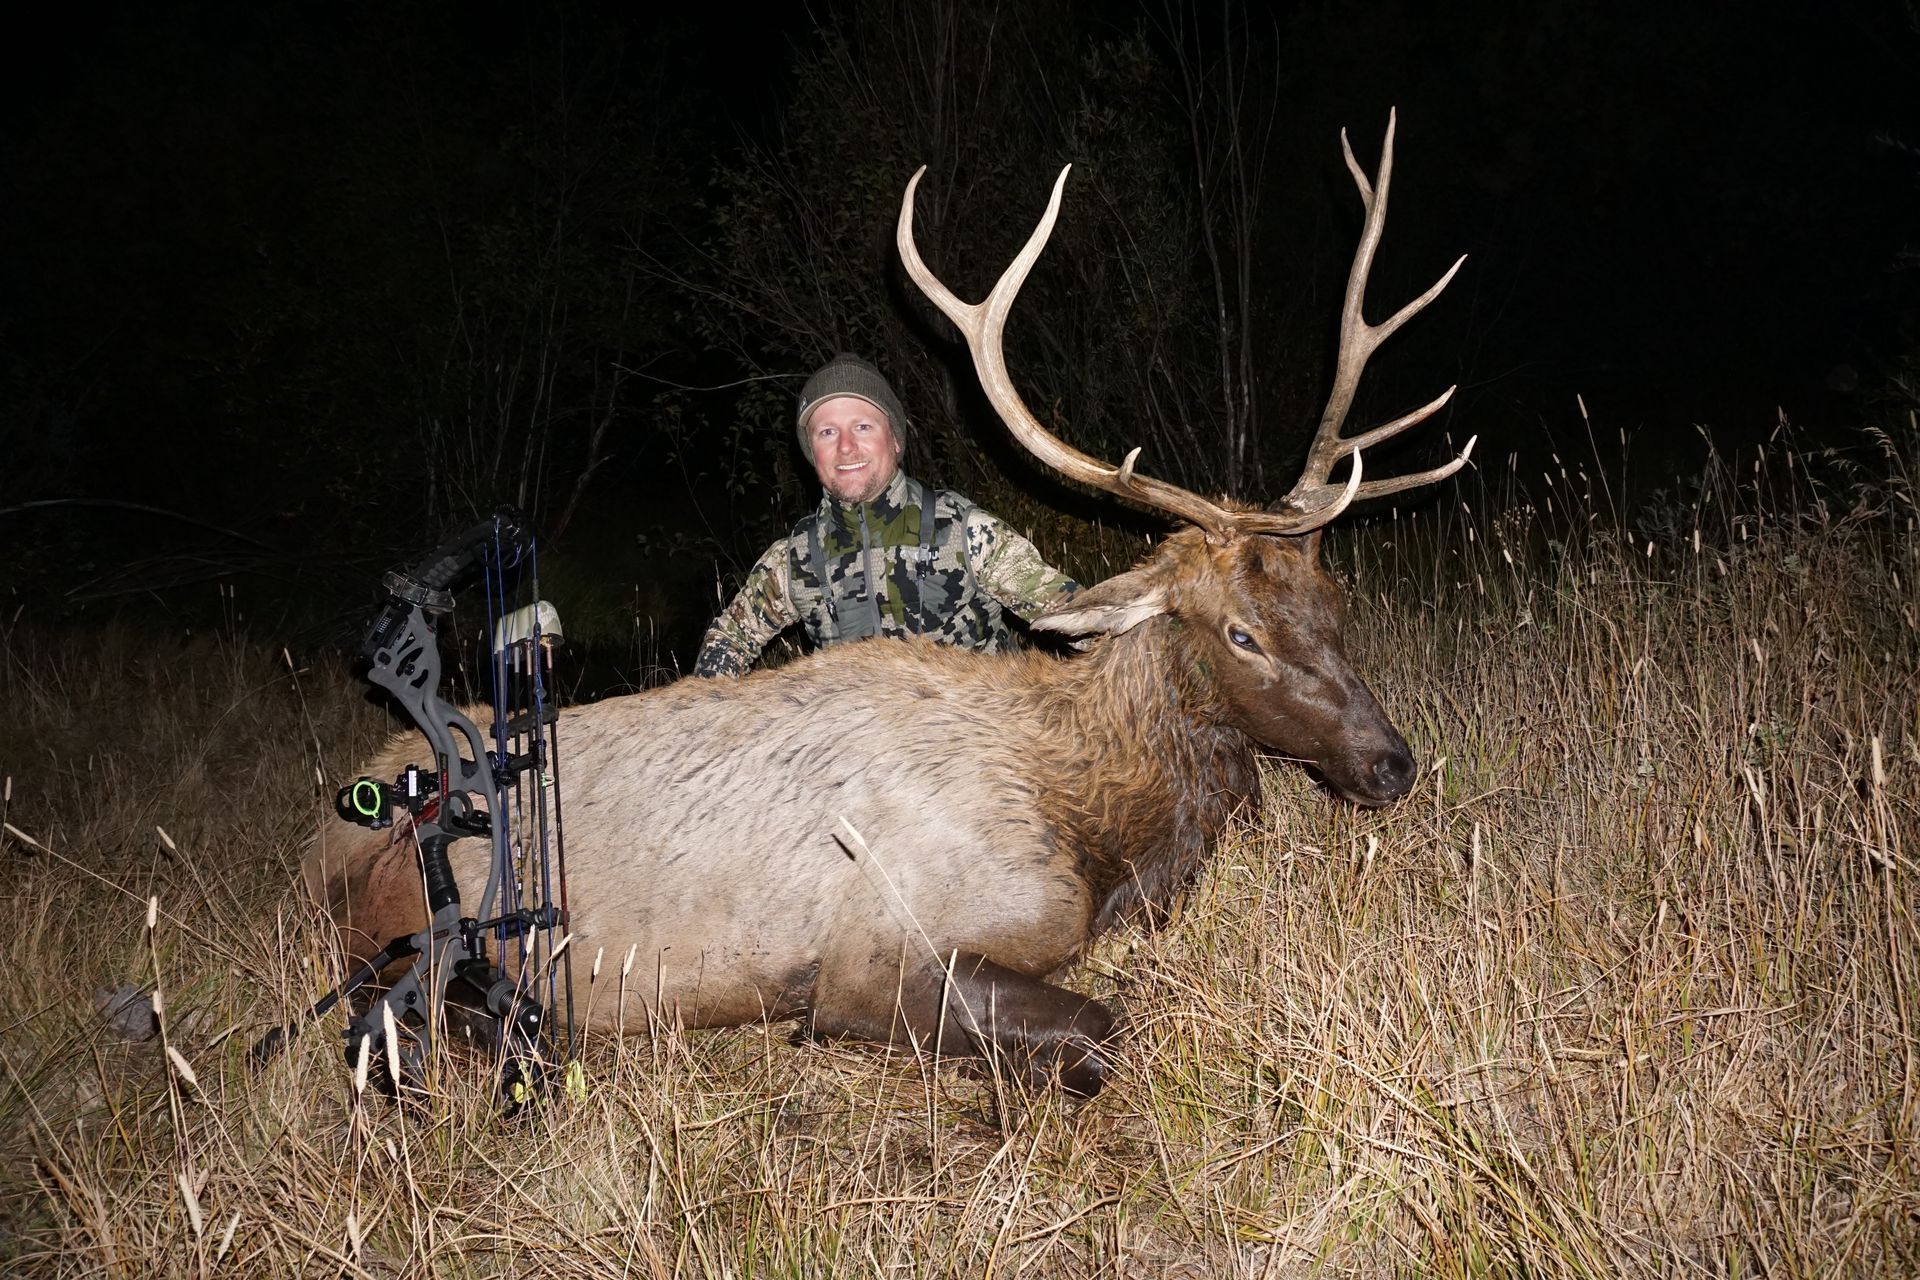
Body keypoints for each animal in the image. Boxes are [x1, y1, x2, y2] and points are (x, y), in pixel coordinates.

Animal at [304, 112, 1472, 1097]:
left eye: (1333, 600)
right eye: (1239, 630)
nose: (1391, 763)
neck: (1097, 824)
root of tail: (335, 837)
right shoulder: (874, 949)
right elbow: (1106, 1029)